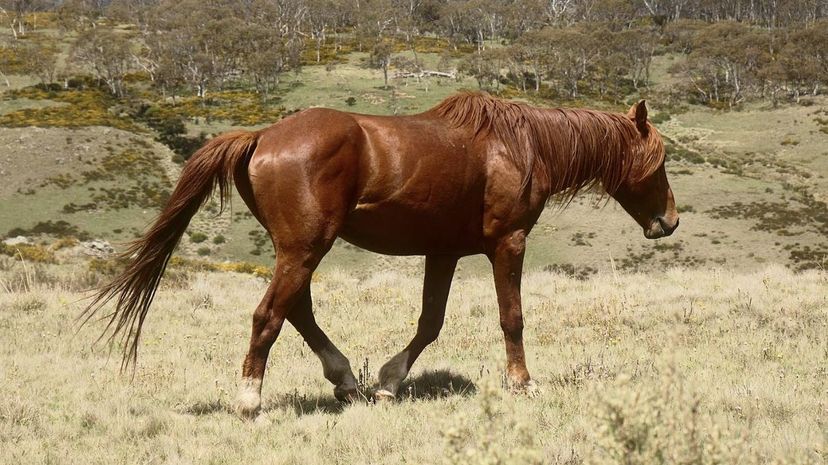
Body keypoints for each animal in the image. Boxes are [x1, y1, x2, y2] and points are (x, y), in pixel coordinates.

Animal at [84, 90, 680, 416]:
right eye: (660, 160)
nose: (669, 221)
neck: (519, 147)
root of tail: (263, 137)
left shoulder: (444, 253)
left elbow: (430, 322)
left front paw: (390, 383)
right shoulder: (508, 243)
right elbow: (512, 317)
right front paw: (522, 383)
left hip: (299, 249)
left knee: (296, 310)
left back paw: (348, 381)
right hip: (305, 247)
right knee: (270, 315)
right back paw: (251, 399)